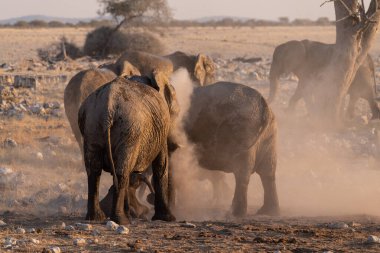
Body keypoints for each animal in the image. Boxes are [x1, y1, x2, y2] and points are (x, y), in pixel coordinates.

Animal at [78, 74, 178, 224]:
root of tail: (108, 108)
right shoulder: (161, 128)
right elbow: (161, 163)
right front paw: (168, 219)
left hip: (92, 126)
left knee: (94, 171)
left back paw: (96, 218)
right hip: (129, 129)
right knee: (122, 171)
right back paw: (121, 220)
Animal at [184, 82, 280, 216]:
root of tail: (264, 106)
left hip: (243, 130)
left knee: (242, 173)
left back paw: (235, 213)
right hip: (269, 133)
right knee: (267, 172)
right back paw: (268, 212)